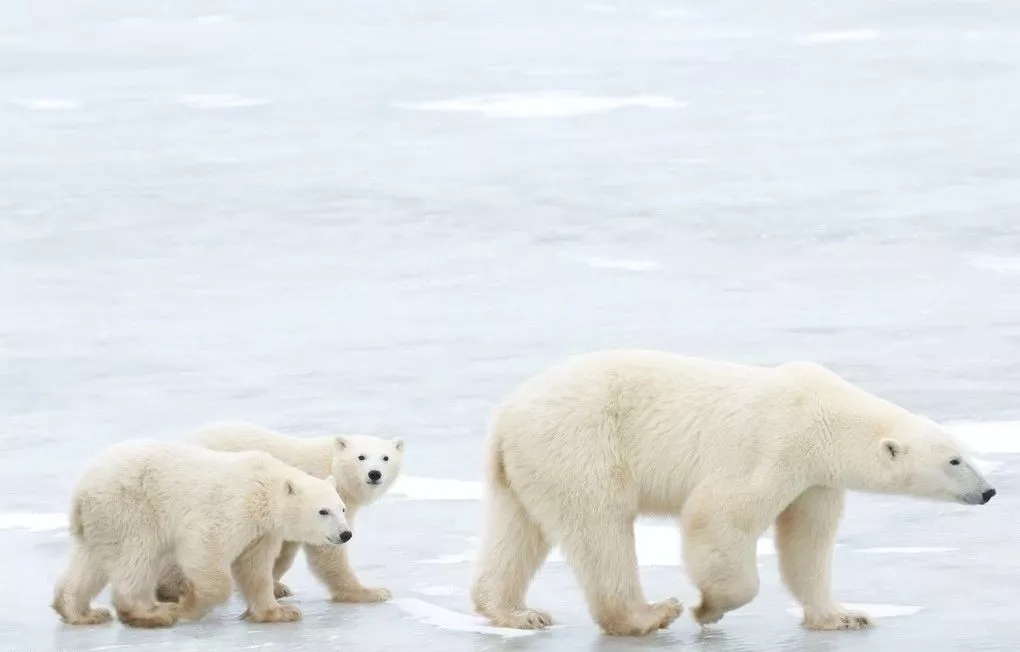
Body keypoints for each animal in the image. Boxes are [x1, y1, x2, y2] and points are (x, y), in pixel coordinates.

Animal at [469, 350, 995, 636]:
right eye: (954, 461)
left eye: (966, 452)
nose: (989, 491)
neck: (824, 415)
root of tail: (506, 415)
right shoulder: (774, 444)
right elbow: (719, 515)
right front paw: (708, 607)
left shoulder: (816, 479)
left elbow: (807, 543)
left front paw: (843, 616)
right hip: (581, 443)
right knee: (601, 526)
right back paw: (648, 615)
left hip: (523, 466)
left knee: (516, 531)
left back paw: (515, 612)